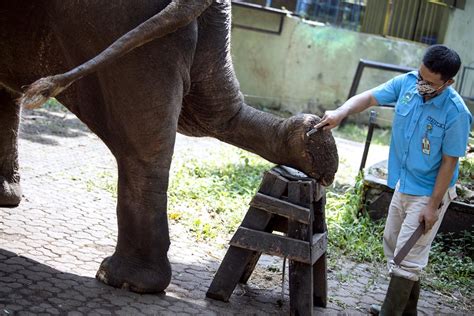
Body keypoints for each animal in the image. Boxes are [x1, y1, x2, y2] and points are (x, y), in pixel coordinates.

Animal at [1, 0, 338, 292]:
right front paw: (6, 198)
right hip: (207, 26)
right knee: (213, 113)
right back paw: (315, 150)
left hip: (113, 19)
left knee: (142, 144)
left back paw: (121, 279)